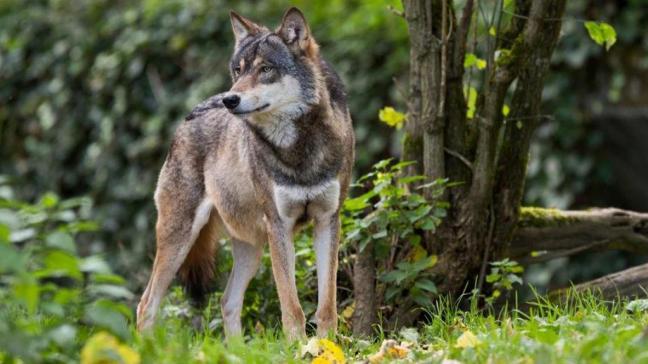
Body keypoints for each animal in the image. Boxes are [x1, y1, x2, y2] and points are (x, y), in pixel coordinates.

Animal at [135, 7, 354, 340]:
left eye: (265, 69)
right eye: (238, 70)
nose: (230, 99)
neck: (299, 148)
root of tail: (188, 117)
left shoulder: (328, 220)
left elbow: (326, 306)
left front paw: (328, 346)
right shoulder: (279, 226)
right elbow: (292, 308)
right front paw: (299, 346)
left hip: (250, 245)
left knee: (227, 301)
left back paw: (236, 348)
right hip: (180, 236)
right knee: (146, 304)